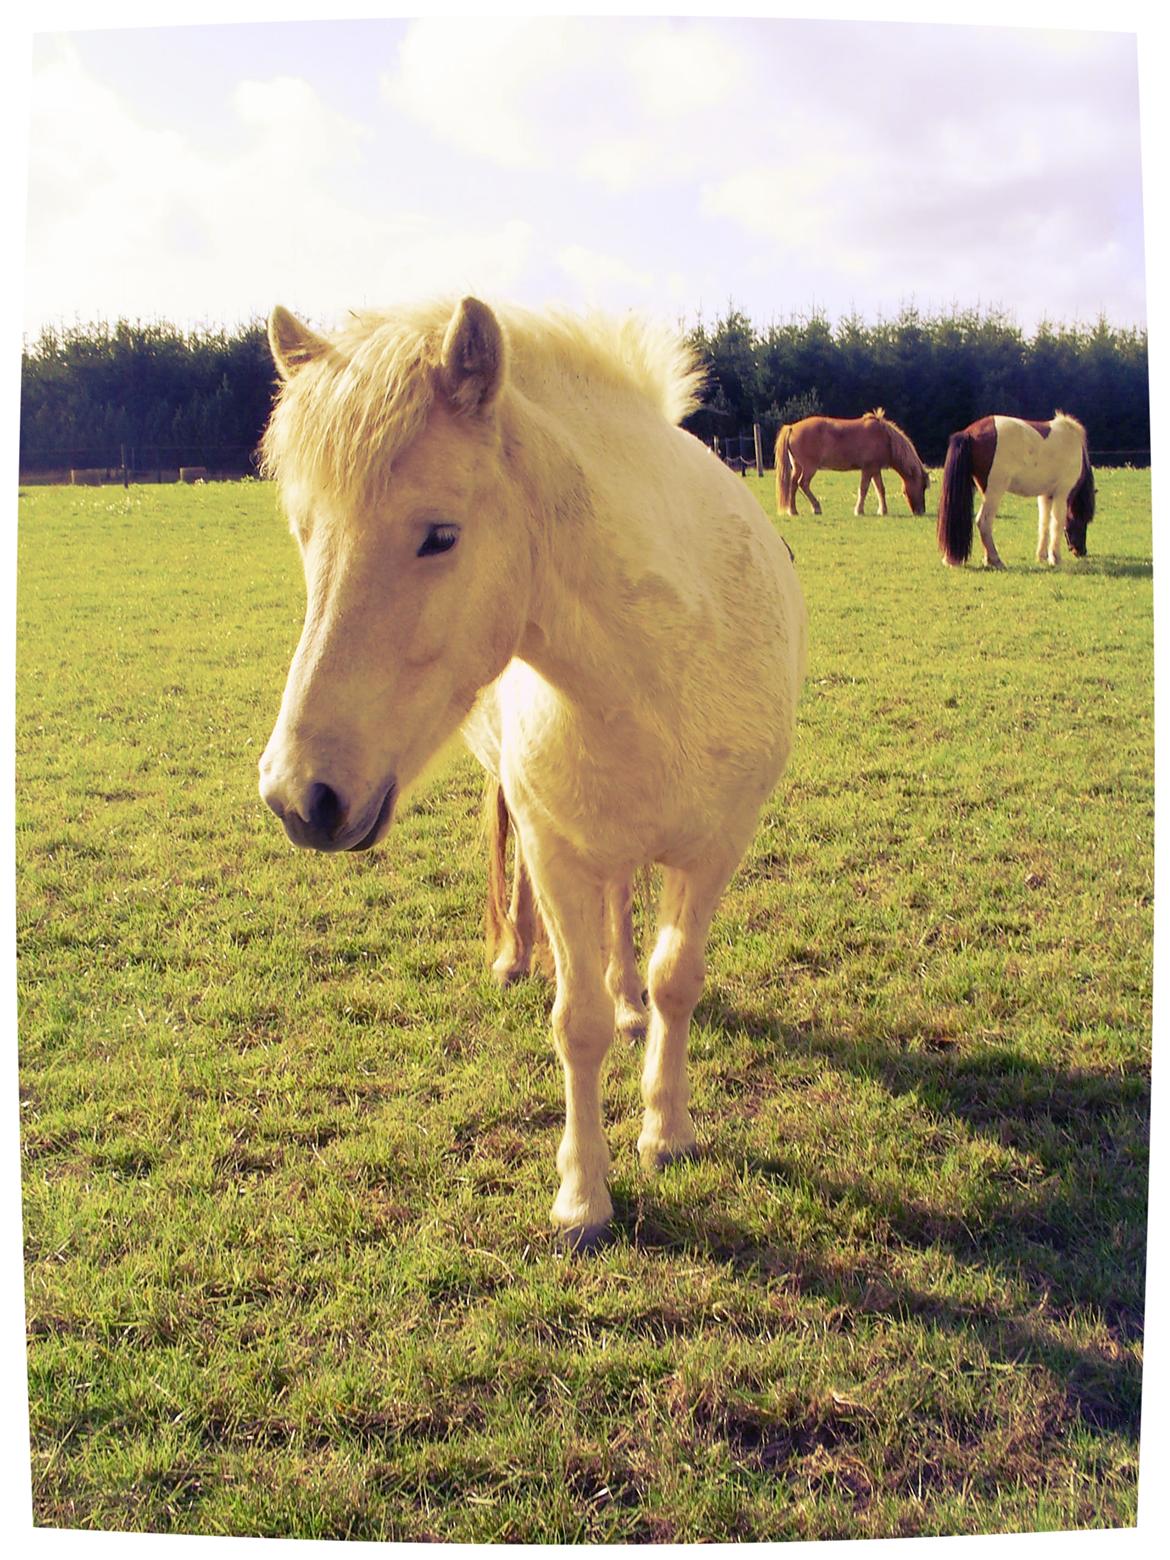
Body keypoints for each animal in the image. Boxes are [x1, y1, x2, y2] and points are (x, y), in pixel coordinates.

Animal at [258, 294, 804, 1241]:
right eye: (304, 533)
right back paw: (518, 959)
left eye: (440, 535)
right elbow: (575, 1022)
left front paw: (667, 1131)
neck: (660, 665)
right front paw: (583, 1197)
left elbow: (676, 981)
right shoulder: (556, 851)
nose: (301, 797)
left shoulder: (716, 848)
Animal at [780, 408, 935, 517]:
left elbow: (880, 489)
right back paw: (816, 507)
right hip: (809, 468)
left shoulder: (875, 469)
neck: (885, 438)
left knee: (793, 485)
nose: (921, 511)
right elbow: (864, 489)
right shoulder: (868, 469)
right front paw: (859, 510)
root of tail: (792, 427)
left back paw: (793, 511)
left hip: (798, 467)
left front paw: (882, 510)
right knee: (803, 484)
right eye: (923, 487)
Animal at [935, 411, 1098, 570]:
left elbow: (1044, 524)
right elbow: (1056, 523)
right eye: (1083, 520)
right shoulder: (1061, 494)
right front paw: (1055, 558)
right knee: (984, 522)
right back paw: (995, 560)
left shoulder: (1045, 496)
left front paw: (1042, 556)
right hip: (994, 492)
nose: (1081, 551)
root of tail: (968, 433)